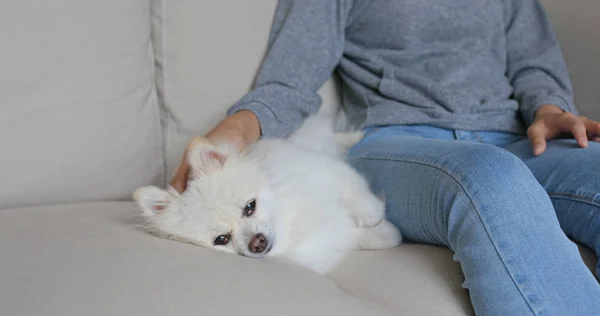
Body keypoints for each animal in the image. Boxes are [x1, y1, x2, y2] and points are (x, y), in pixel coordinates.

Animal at [134, 113, 400, 274]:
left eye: (249, 207)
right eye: (221, 239)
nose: (257, 242)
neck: (288, 223)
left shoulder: (324, 170)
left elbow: (354, 192)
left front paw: (374, 216)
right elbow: (358, 235)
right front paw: (387, 235)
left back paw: (359, 135)